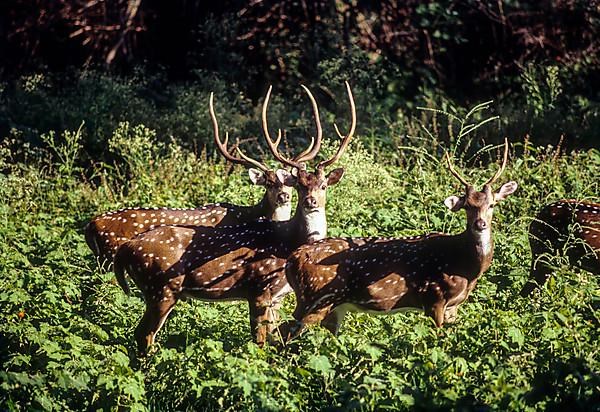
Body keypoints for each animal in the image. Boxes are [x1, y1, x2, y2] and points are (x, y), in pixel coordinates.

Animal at [112, 82, 356, 352]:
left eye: (323, 185)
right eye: (301, 186)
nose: (310, 201)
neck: (289, 244)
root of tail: (125, 249)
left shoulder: (278, 297)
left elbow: (275, 340)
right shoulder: (259, 287)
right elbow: (259, 341)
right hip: (161, 287)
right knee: (144, 334)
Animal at [274, 140, 516, 342]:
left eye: (492, 204)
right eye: (467, 206)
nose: (480, 224)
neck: (464, 266)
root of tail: (292, 259)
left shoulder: (453, 307)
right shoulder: (433, 297)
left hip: (331, 305)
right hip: (316, 297)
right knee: (284, 331)